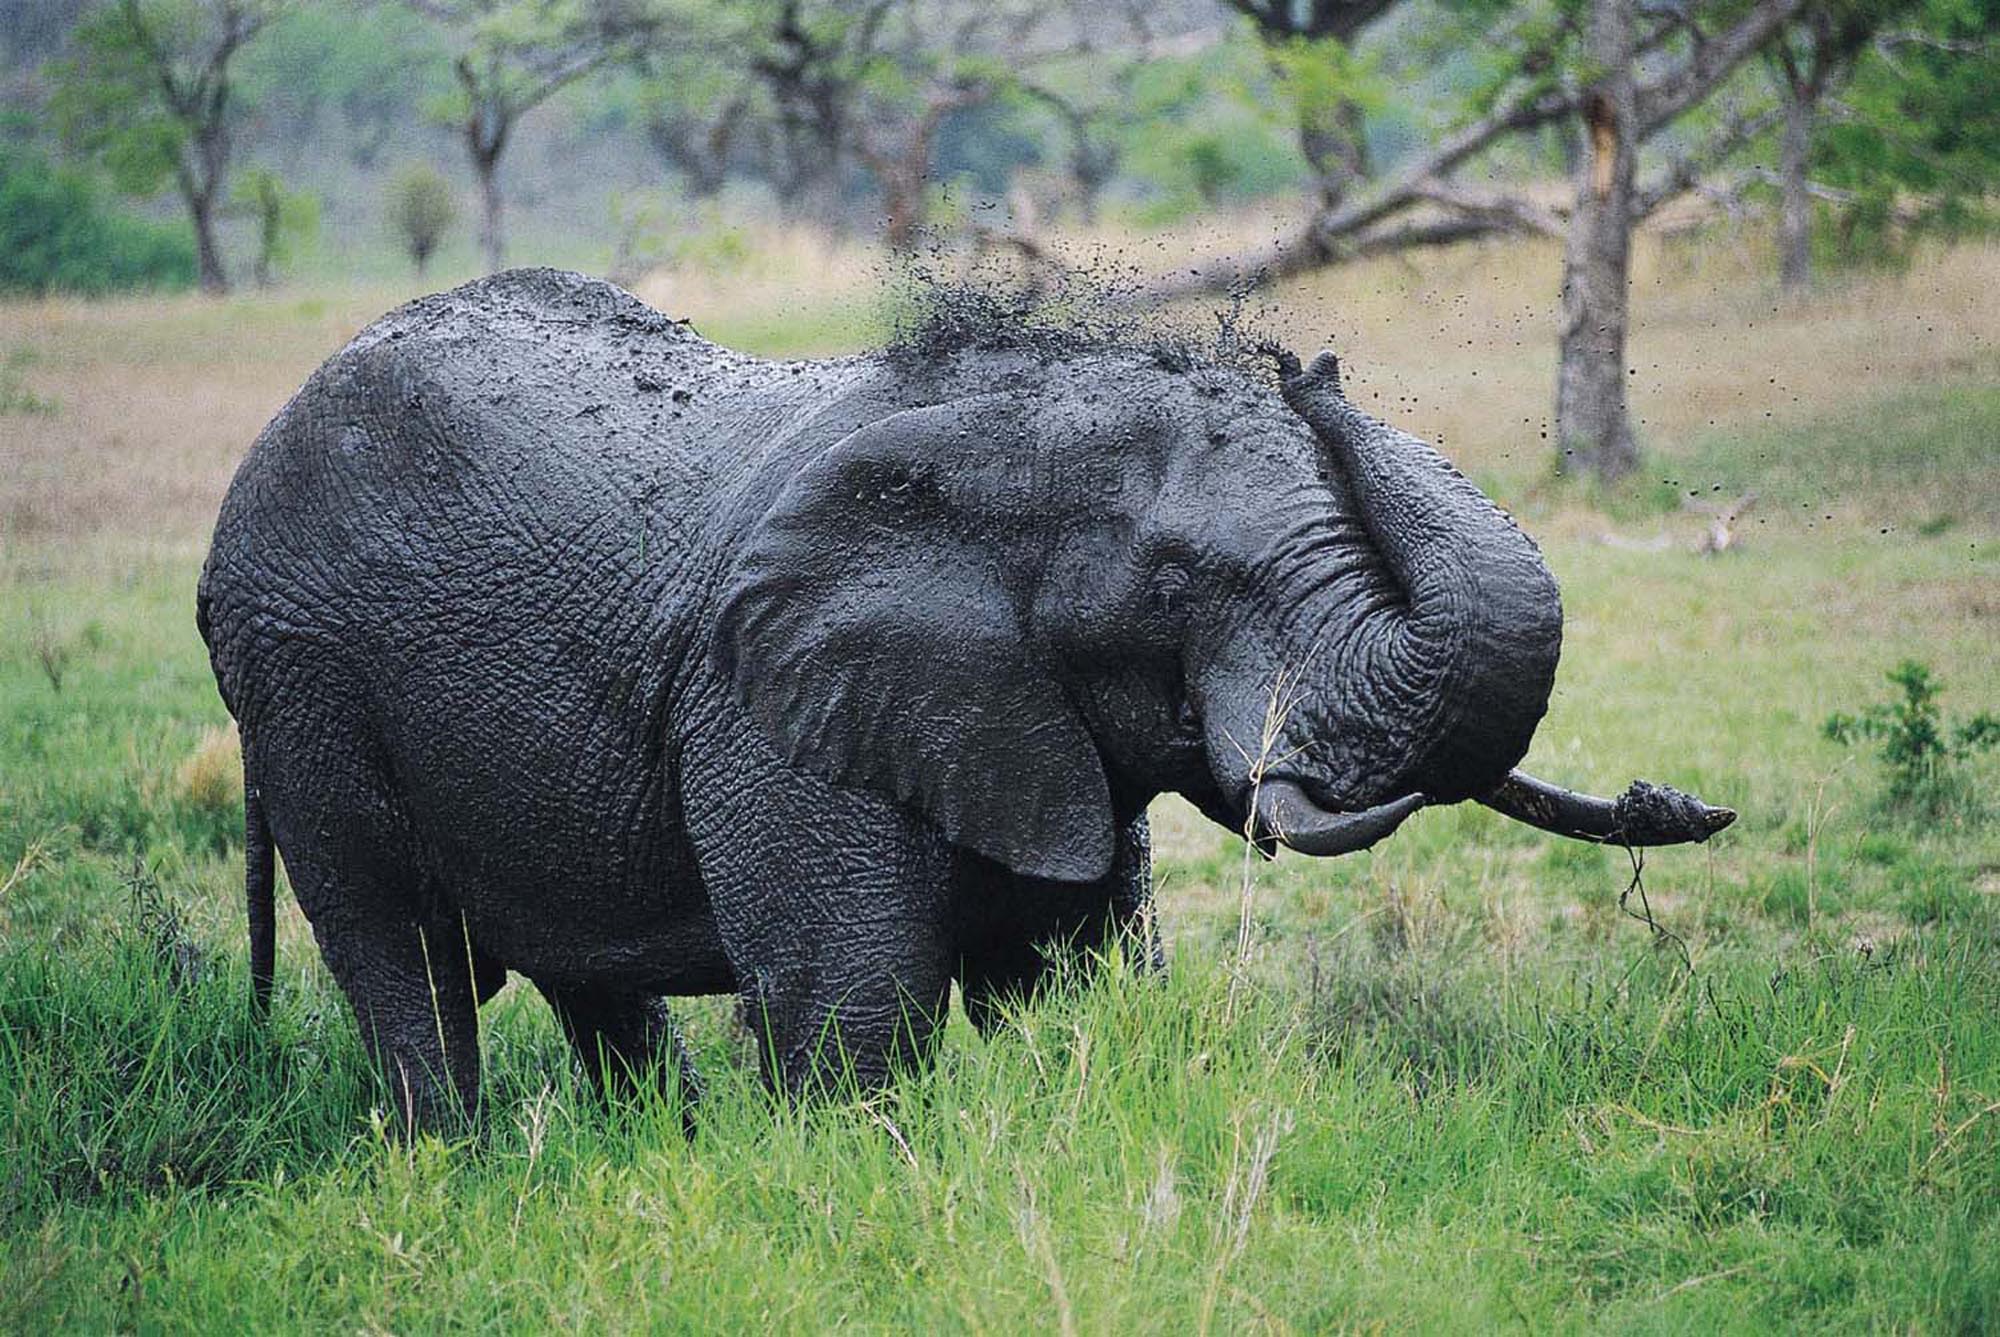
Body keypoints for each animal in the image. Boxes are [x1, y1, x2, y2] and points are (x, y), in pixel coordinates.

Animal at [197, 268, 1732, 1131]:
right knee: (400, 953)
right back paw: (454, 1166)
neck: (992, 429)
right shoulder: (765, 706)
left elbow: (1091, 976)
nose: (1306, 363)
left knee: (587, 980)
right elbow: (853, 1009)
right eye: (1178, 582)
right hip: (299, 685)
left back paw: (655, 1153)